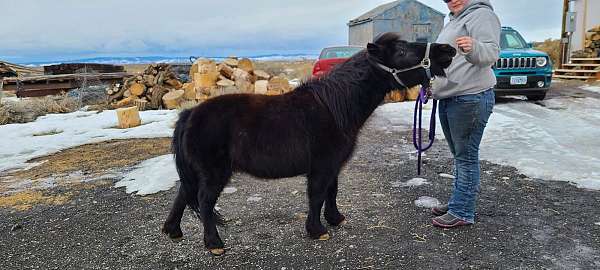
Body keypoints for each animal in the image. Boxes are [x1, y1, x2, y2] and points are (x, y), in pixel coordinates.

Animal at [162, 32, 452, 255]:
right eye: (402, 51)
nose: (447, 50)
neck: (335, 107)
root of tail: (190, 114)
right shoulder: (322, 167)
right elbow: (317, 195)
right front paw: (317, 230)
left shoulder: (333, 165)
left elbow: (332, 192)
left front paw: (335, 219)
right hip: (214, 174)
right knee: (204, 202)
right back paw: (214, 244)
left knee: (184, 194)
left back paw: (173, 231)